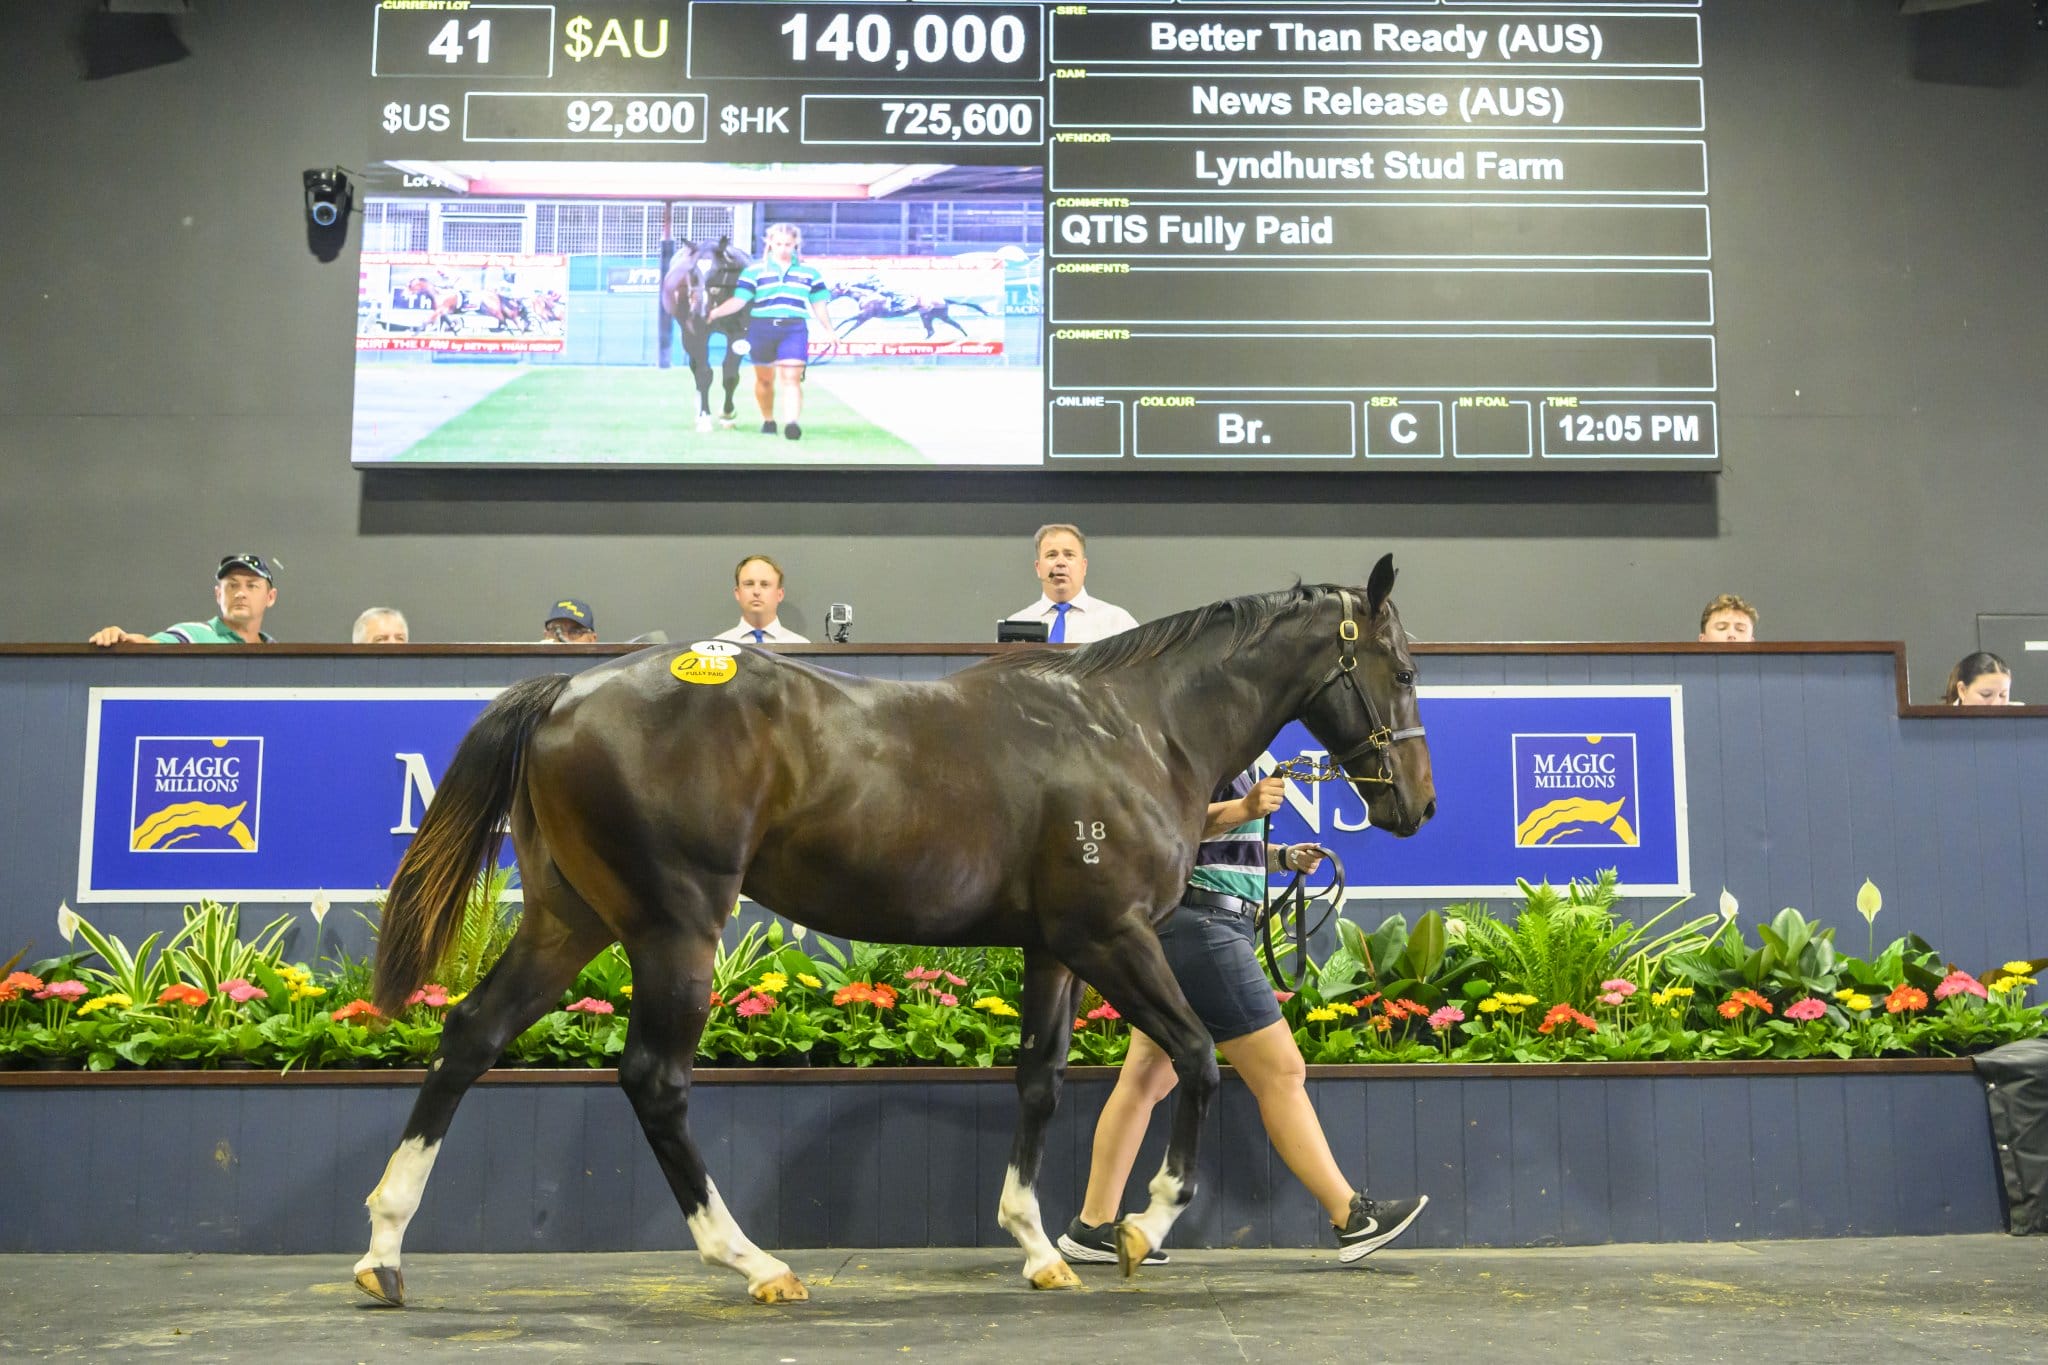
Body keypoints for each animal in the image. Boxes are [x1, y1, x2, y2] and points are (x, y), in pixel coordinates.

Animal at [352, 560, 1433, 1309]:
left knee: (470, 1037)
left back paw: (383, 1251)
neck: (1131, 728)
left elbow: (1039, 1080)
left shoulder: (1051, 948)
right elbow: (1203, 1056)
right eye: (1403, 666)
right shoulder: (1111, 934)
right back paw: (753, 1262)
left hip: (569, 917)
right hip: (675, 926)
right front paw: (1139, 1224)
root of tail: (569, 693)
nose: (1414, 804)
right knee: (653, 1081)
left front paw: (1038, 1247)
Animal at [663, 237, 753, 431]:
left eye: (720, 270)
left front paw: (728, 415)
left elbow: (730, 373)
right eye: (691, 271)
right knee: (695, 368)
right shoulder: (695, 333)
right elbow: (704, 373)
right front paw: (704, 417)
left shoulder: (739, 333)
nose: (699, 312)